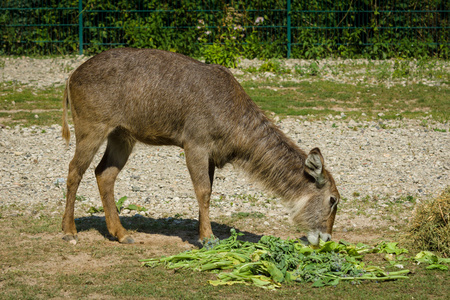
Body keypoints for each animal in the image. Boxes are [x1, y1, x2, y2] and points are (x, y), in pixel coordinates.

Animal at [61, 48, 340, 245]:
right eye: (333, 199)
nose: (325, 238)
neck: (234, 124)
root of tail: (71, 77)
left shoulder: (213, 155)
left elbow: (208, 191)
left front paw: (201, 232)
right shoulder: (194, 143)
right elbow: (203, 190)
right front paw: (208, 238)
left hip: (122, 135)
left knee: (104, 173)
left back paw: (121, 234)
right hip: (91, 127)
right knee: (74, 170)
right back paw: (69, 231)